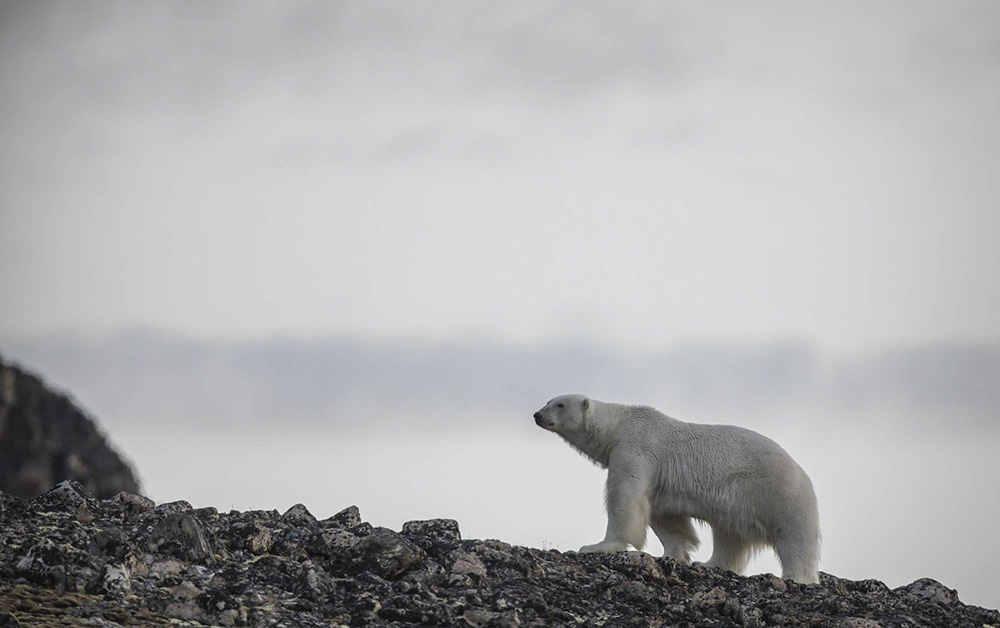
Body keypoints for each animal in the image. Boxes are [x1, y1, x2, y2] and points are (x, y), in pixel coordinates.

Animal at [532, 392, 820, 584]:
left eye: (559, 404)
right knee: (729, 536)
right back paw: (711, 563)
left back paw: (797, 577)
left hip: (777, 492)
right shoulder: (658, 479)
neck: (620, 424)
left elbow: (625, 498)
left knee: (794, 537)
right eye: (547, 400)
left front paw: (598, 546)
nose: (537, 415)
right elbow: (665, 515)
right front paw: (674, 554)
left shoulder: (635, 447)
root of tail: (803, 473)